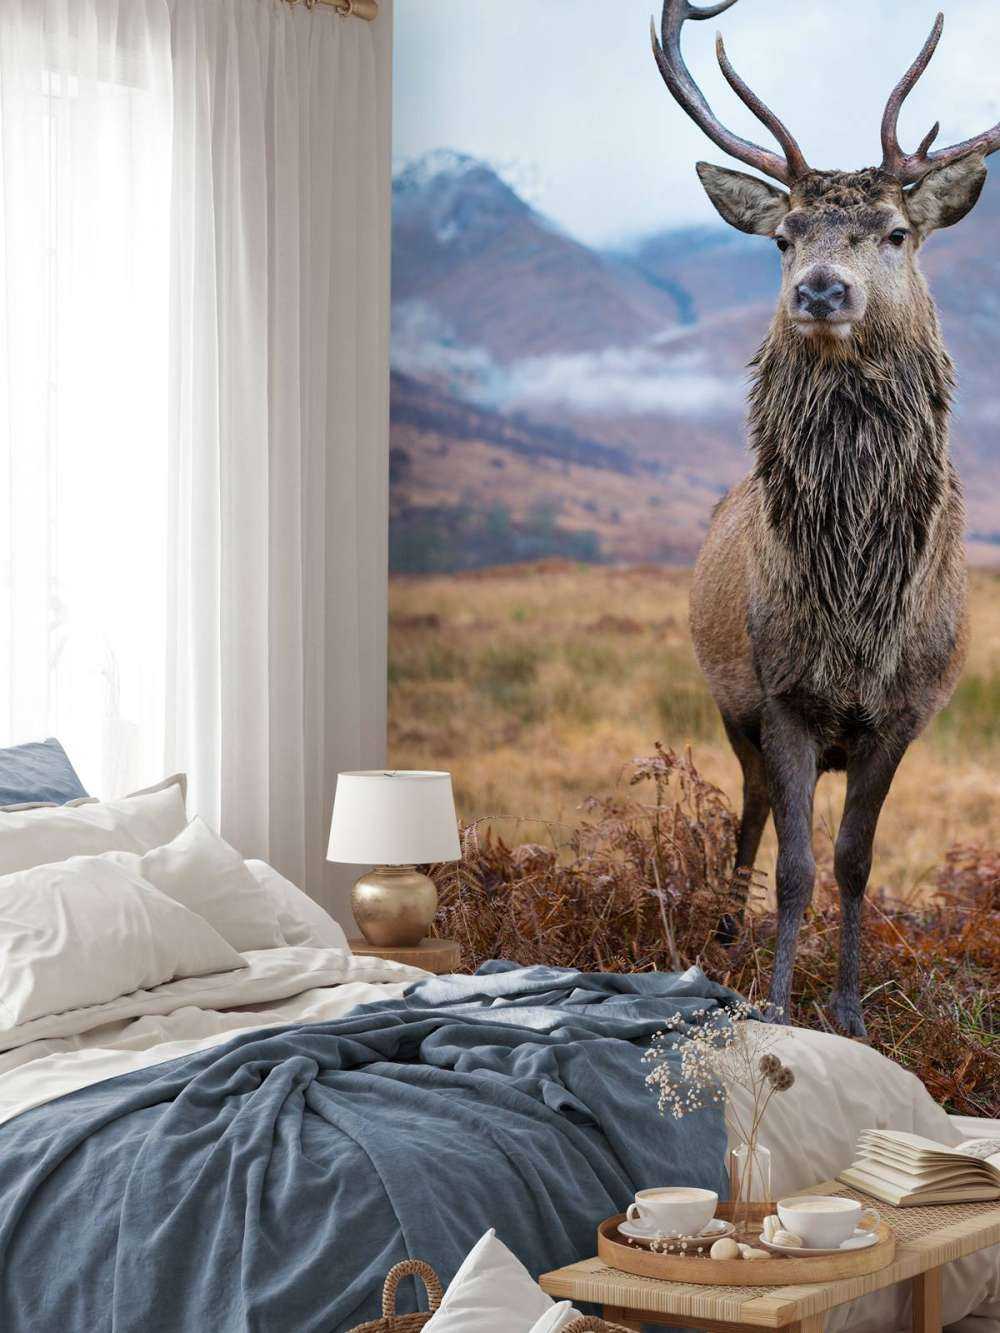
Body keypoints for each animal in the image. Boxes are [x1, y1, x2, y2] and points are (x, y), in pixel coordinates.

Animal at [651, 2, 998, 1037]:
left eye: (895, 233)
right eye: (784, 236)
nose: (820, 289)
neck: (855, 614)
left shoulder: (906, 712)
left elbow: (854, 861)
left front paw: (849, 1011)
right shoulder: (782, 697)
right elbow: (798, 865)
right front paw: (773, 1003)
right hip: (728, 700)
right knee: (750, 813)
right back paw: (723, 934)